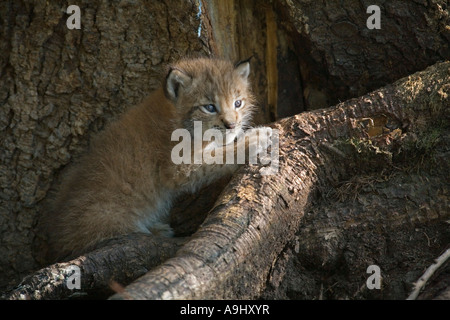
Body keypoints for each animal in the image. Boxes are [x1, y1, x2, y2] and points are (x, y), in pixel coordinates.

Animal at [44, 57, 270, 262]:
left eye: (238, 103)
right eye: (210, 107)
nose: (232, 125)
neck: (175, 118)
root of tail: (53, 241)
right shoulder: (179, 167)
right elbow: (220, 157)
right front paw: (255, 138)